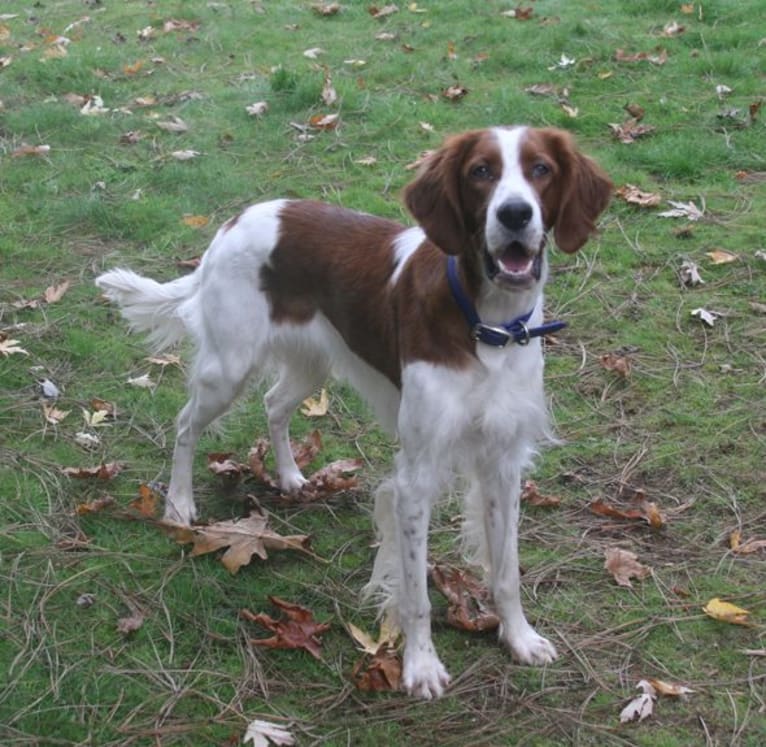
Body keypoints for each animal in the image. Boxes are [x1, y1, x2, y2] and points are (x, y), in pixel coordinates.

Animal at [96, 124, 612, 700]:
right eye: (481, 171)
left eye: (541, 169)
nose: (516, 214)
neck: (488, 326)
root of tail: (232, 222)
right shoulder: (416, 476)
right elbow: (416, 593)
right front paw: (420, 667)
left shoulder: (502, 459)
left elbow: (506, 571)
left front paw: (519, 637)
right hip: (227, 369)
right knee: (186, 425)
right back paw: (179, 505)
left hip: (312, 362)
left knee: (274, 404)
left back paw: (290, 476)